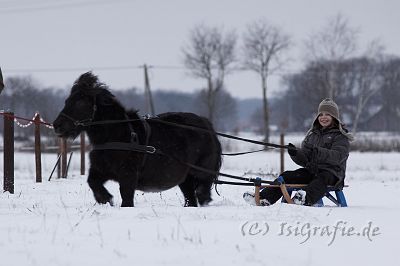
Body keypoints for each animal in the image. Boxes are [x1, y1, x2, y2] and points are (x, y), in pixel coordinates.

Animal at [52, 72, 222, 208]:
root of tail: (206, 123)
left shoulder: (128, 175)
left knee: (203, 189)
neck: (117, 135)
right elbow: (92, 182)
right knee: (190, 198)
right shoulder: (100, 170)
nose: (57, 125)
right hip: (185, 179)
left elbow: (126, 196)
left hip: (201, 171)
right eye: (67, 101)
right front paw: (106, 199)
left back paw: (204, 199)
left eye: (80, 102)